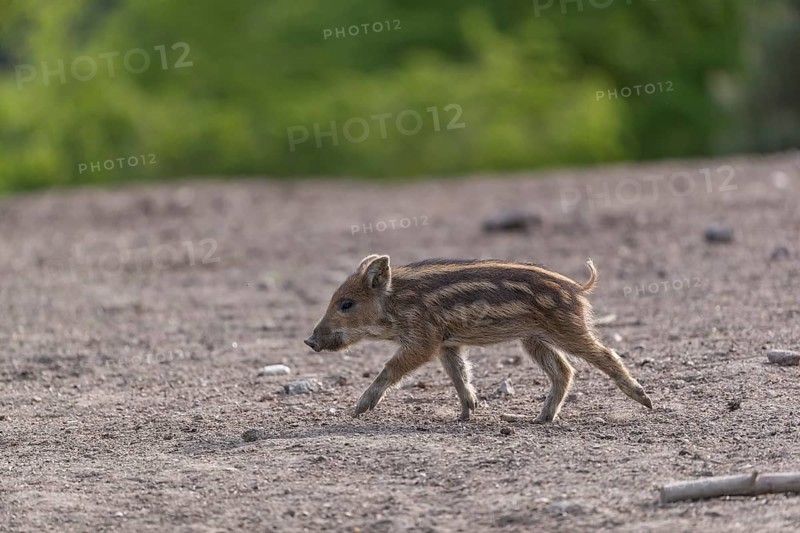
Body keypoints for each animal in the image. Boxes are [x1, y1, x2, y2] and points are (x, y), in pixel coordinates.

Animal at [304, 254, 653, 422]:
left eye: (346, 304)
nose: (310, 341)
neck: (397, 301)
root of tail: (578, 288)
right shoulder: (447, 343)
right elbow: (459, 374)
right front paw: (466, 412)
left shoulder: (423, 339)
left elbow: (391, 368)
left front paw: (359, 409)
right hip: (533, 338)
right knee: (564, 371)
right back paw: (540, 418)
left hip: (567, 328)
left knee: (606, 355)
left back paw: (645, 400)